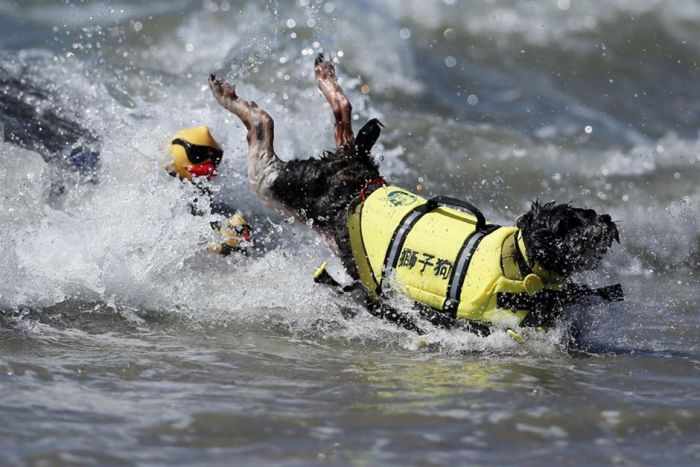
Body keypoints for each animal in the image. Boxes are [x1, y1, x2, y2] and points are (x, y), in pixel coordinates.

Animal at [209, 54, 624, 336]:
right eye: (568, 225)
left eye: (586, 213)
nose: (605, 221)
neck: (520, 263)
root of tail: (362, 179)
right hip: (280, 187)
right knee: (263, 131)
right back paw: (229, 95)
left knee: (343, 120)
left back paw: (325, 77)